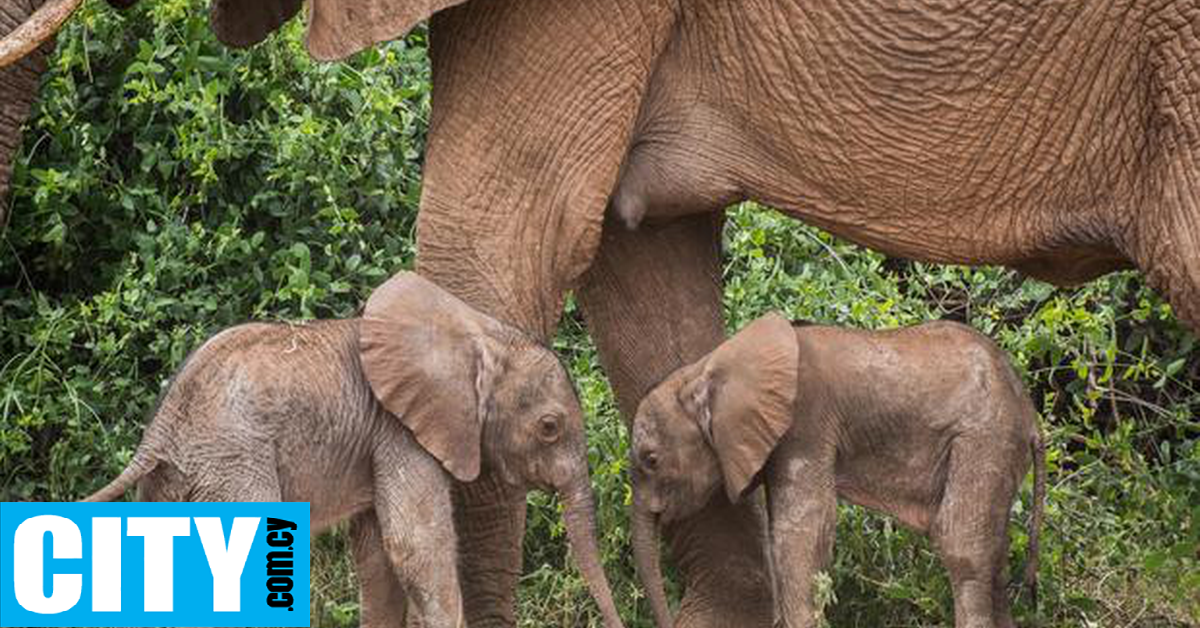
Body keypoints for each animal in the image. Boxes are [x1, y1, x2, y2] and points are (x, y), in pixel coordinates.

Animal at [84, 272, 624, 628]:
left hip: (173, 479)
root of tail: (162, 425)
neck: (477, 334)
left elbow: (378, 556)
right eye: (550, 427)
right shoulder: (399, 432)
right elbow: (416, 546)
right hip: (232, 461)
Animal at [633, 314, 1046, 628]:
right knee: (995, 558)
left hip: (985, 437)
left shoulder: (805, 424)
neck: (704, 369)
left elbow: (801, 529)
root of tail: (1030, 415)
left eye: (650, 459)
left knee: (962, 546)